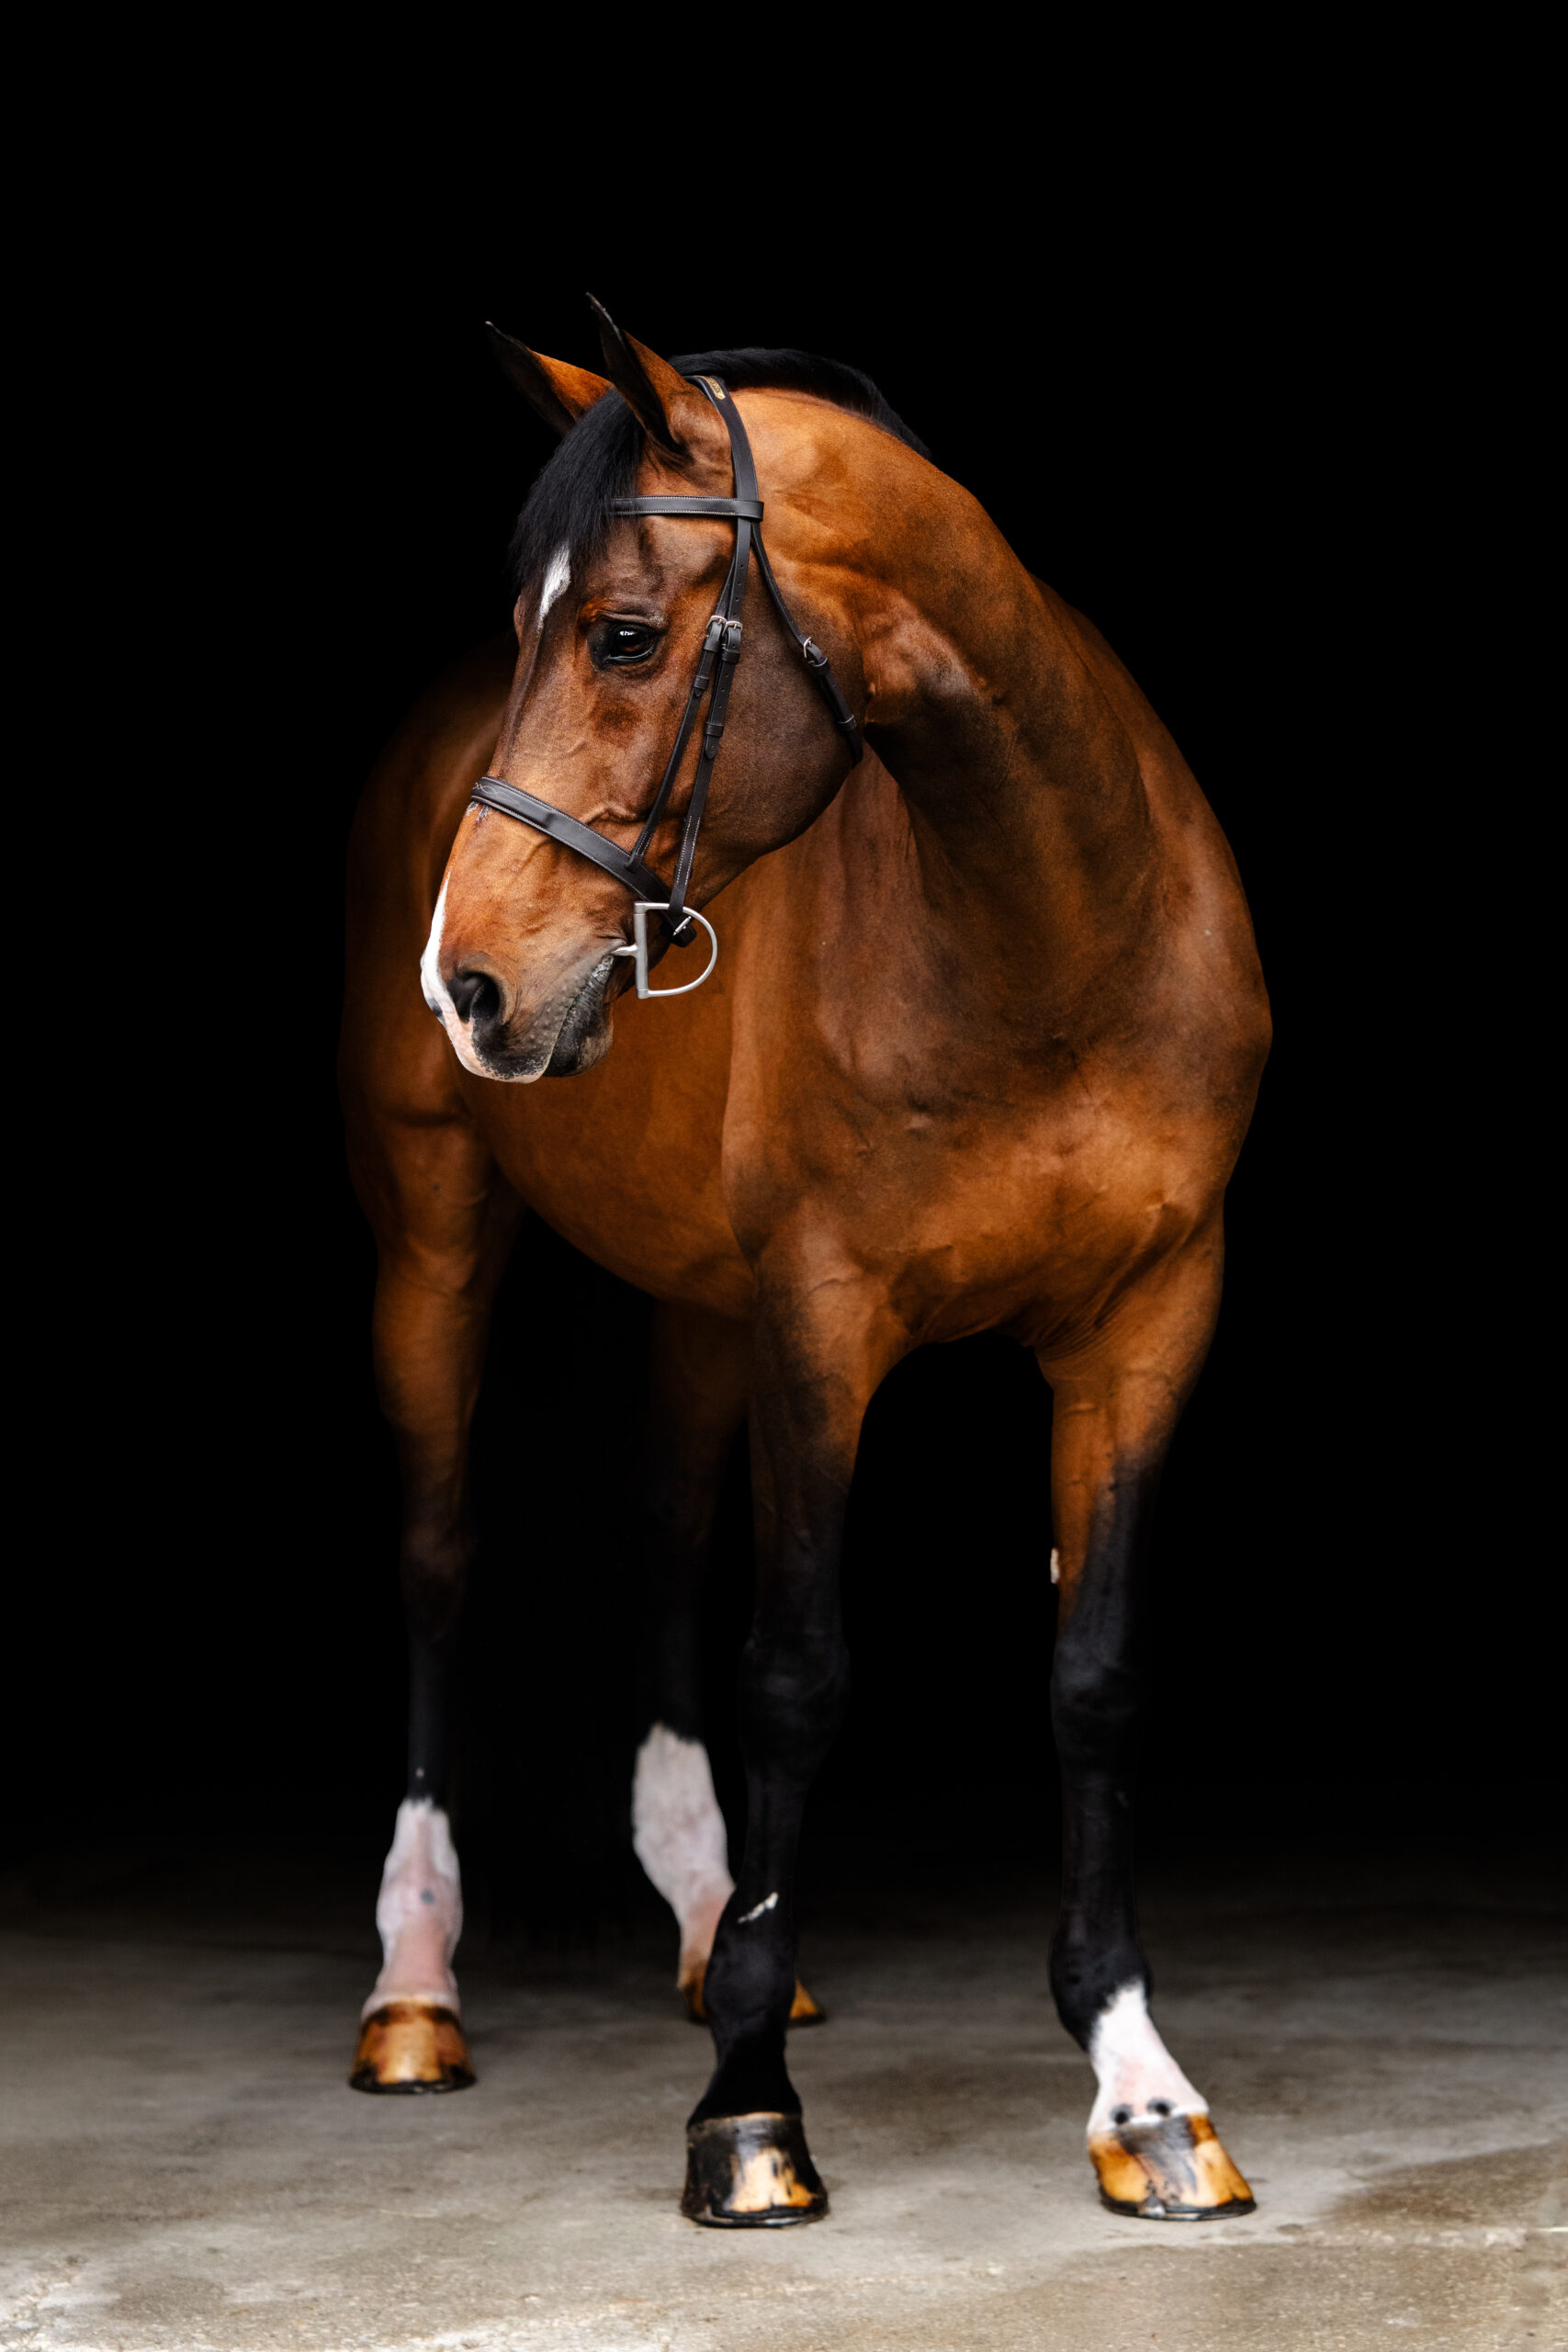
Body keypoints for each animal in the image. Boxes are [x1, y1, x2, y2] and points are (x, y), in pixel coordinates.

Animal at [337, 302, 1271, 2227]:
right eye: (530, 630)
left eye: (622, 634)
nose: (467, 980)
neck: (1044, 931)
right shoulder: (823, 1325)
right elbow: (797, 1674)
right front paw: (747, 2110)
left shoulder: (1147, 1320)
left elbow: (1094, 1676)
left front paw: (1141, 2092)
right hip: (433, 1234)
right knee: (441, 1565)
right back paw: (415, 1990)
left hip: (702, 1307)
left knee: (658, 1536)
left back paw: (708, 1920)